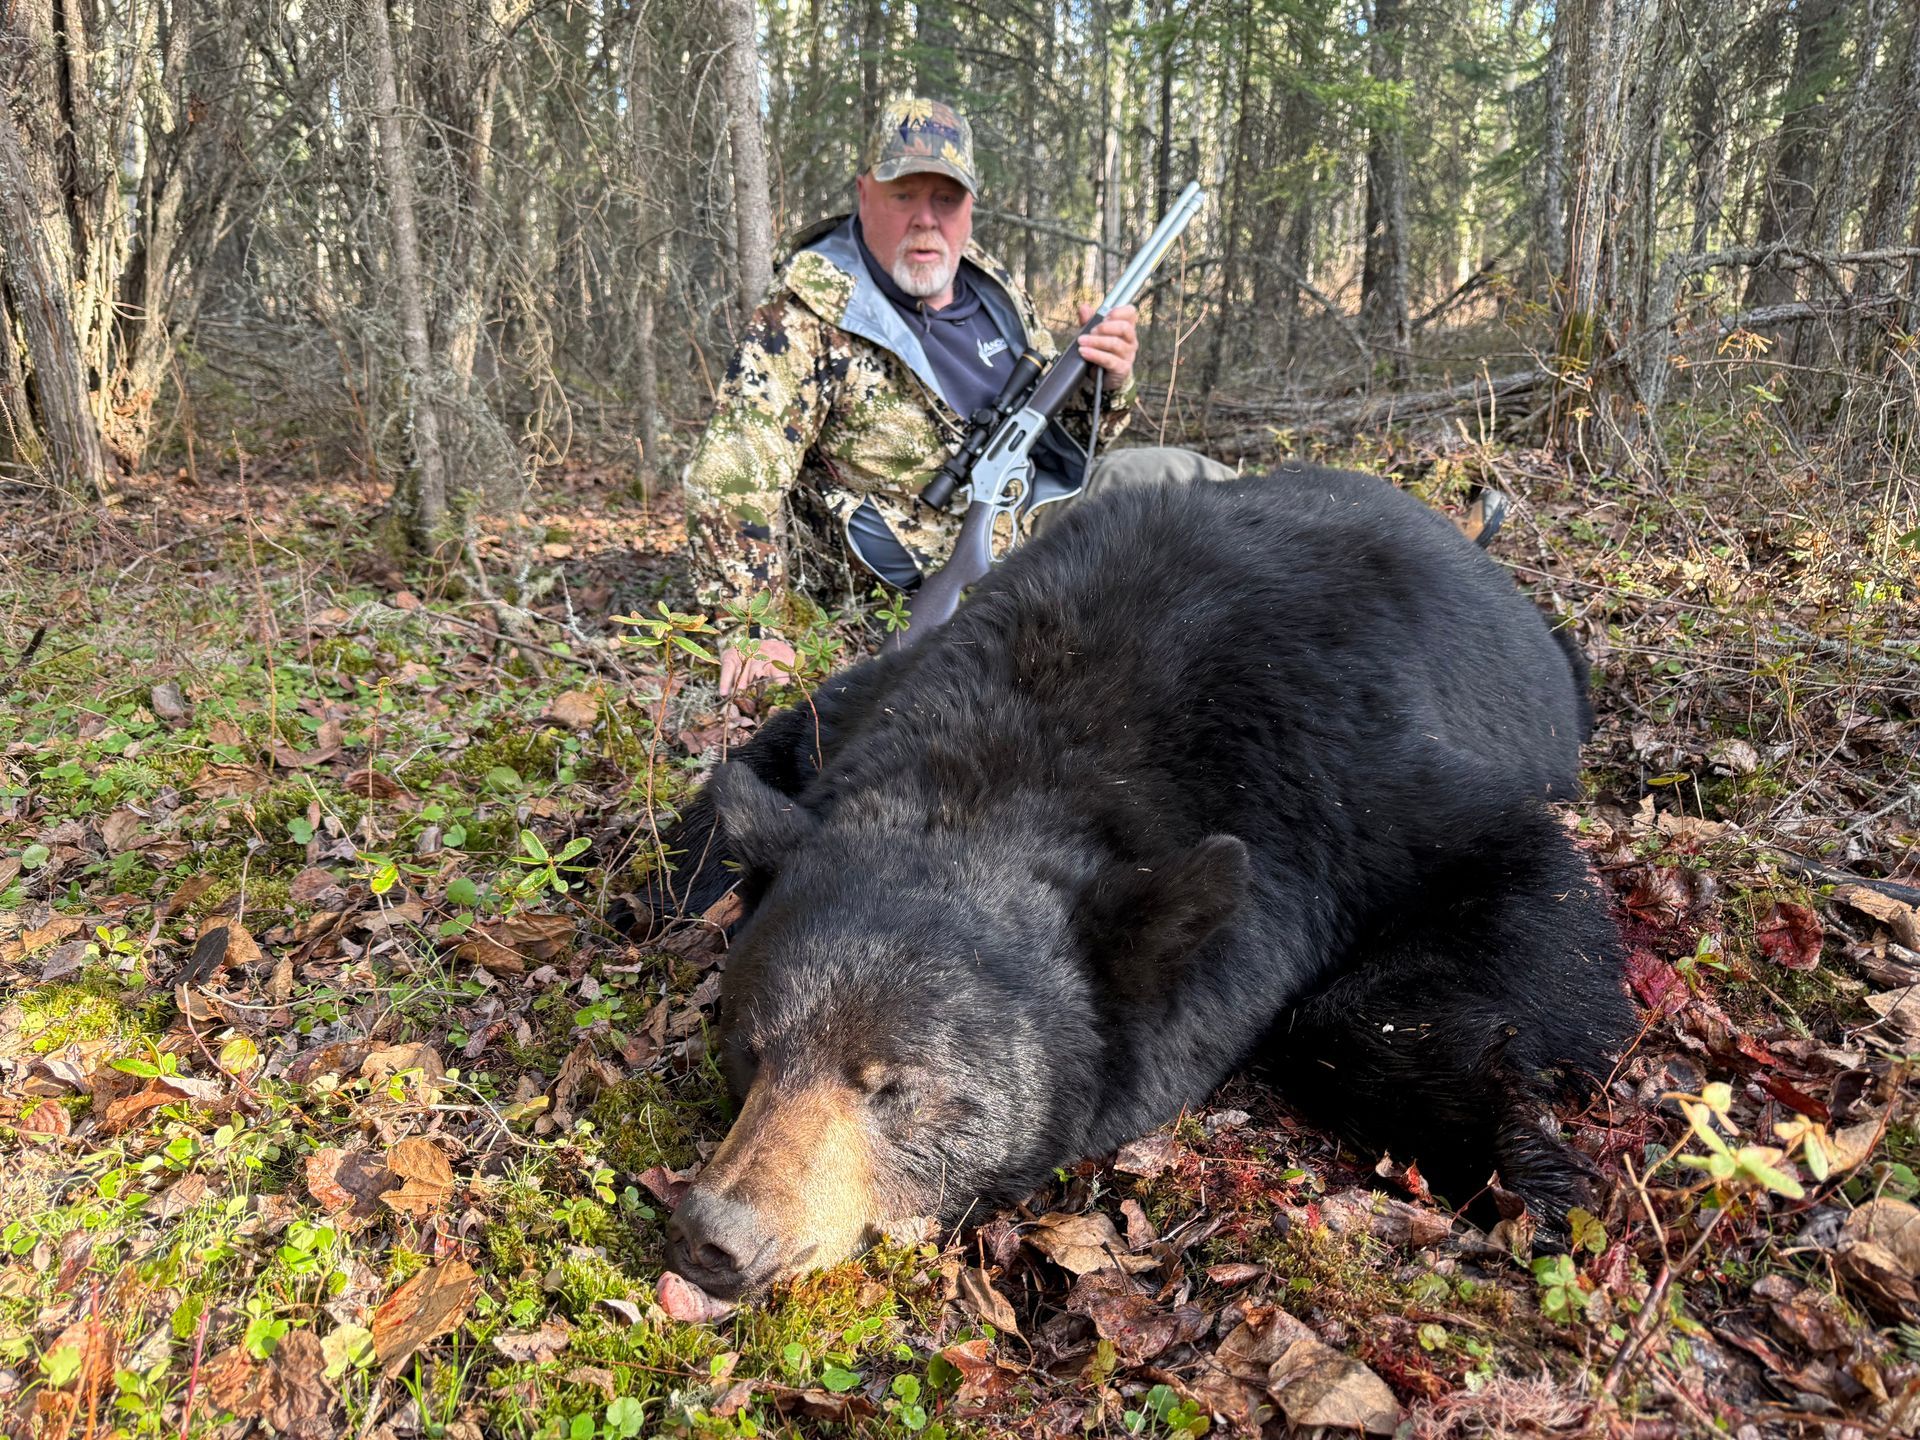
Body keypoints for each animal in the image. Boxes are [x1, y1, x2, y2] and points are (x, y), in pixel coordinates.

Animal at [634, 465, 1631, 1299]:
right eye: (749, 1047)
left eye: (893, 1087)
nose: (715, 1236)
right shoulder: (872, 698)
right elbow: (755, 760)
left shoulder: (1351, 777)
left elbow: (1516, 878)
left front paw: (1524, 1167)